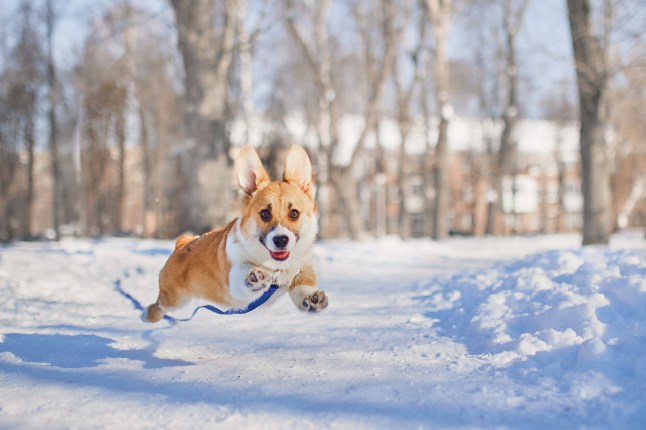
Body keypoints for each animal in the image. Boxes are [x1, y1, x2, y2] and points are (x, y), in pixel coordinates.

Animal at [147, 145, 330, 322]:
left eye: (294, 214)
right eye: (265, 214)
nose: (281, 240)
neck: (275, 267)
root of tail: (183, 243)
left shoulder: (302, 270)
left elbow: (303, 289)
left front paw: (313, 299)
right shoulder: (232, 280)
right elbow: (242, 278)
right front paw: (256, 278)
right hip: (173, 299)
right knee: (157, 308)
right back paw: (147, 315)